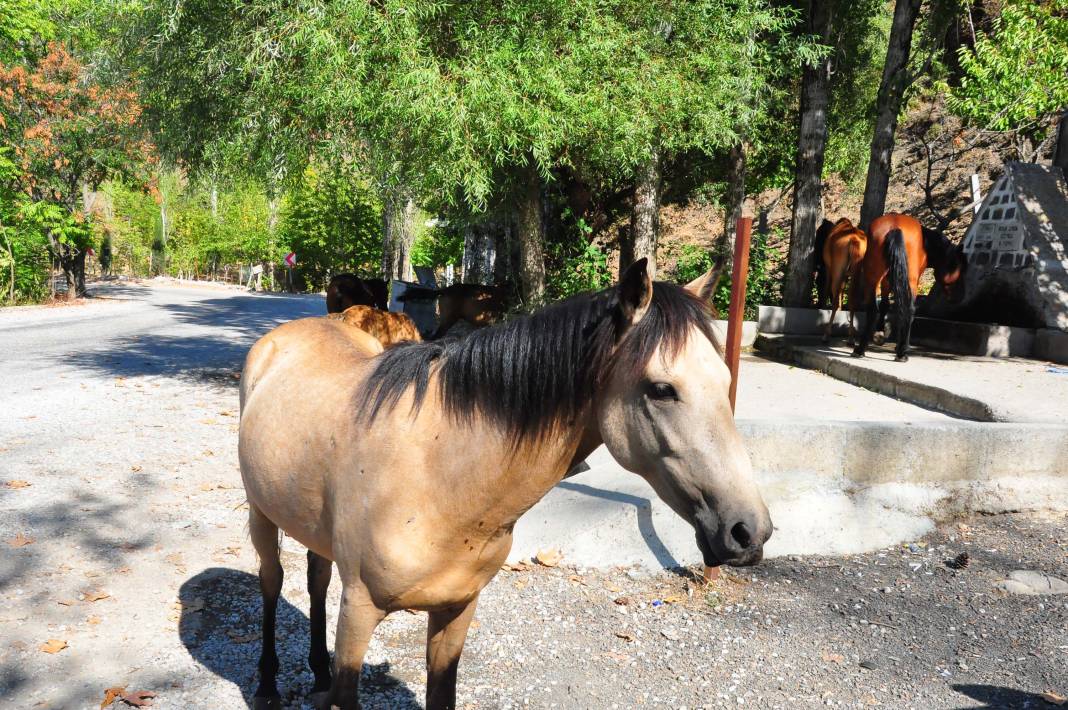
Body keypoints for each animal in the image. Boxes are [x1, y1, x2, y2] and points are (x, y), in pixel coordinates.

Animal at [238, 261, 773, 708]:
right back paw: (267, 684)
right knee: (273, 581)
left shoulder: (456, 610)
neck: (438, 478)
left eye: (726, 380)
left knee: (315, 578)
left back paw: (318, 674)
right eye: (662, 389)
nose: (749, 531)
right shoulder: (358, 613)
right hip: (260, 514)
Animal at [850, 211, 969, 360]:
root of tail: (895, 228)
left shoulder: (888, 279)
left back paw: (860, 349)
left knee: (872, 309)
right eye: (961, 269)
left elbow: (885, 305)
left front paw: (880, 334)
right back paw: (902, 352)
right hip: (911, 280)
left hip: (872, 277)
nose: (961, 297)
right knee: (909, 309)